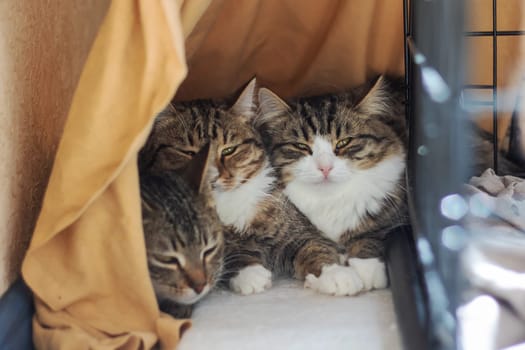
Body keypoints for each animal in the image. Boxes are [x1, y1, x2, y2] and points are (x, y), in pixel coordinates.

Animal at [256, 76, 408, 290]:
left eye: (344, 142)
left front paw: (366, 270)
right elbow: (313, 249)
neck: (331, 200)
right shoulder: (298, 234)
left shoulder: (395, 212)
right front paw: (336, 277)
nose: (325, 168)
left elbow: (373, 234)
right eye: (301, 146)